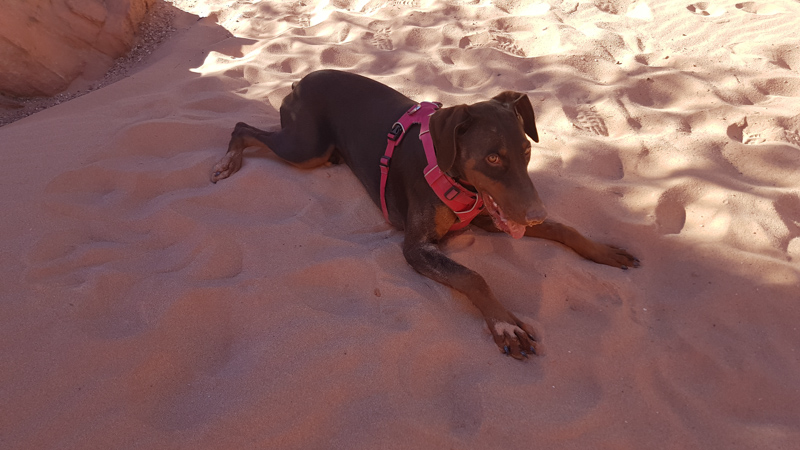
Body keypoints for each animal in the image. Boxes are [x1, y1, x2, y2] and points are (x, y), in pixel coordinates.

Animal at [211, 69, 636, 358]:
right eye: (493, 158)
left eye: (527, 151)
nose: (534, 214)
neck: (453, 173)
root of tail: (301, 79)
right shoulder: (416, 247)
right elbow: (473, 276)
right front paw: (505, 325)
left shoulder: (492, 215)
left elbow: (565, 228)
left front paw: (603, 251)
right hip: (305, 147)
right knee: (243, 126)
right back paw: (227, 162)